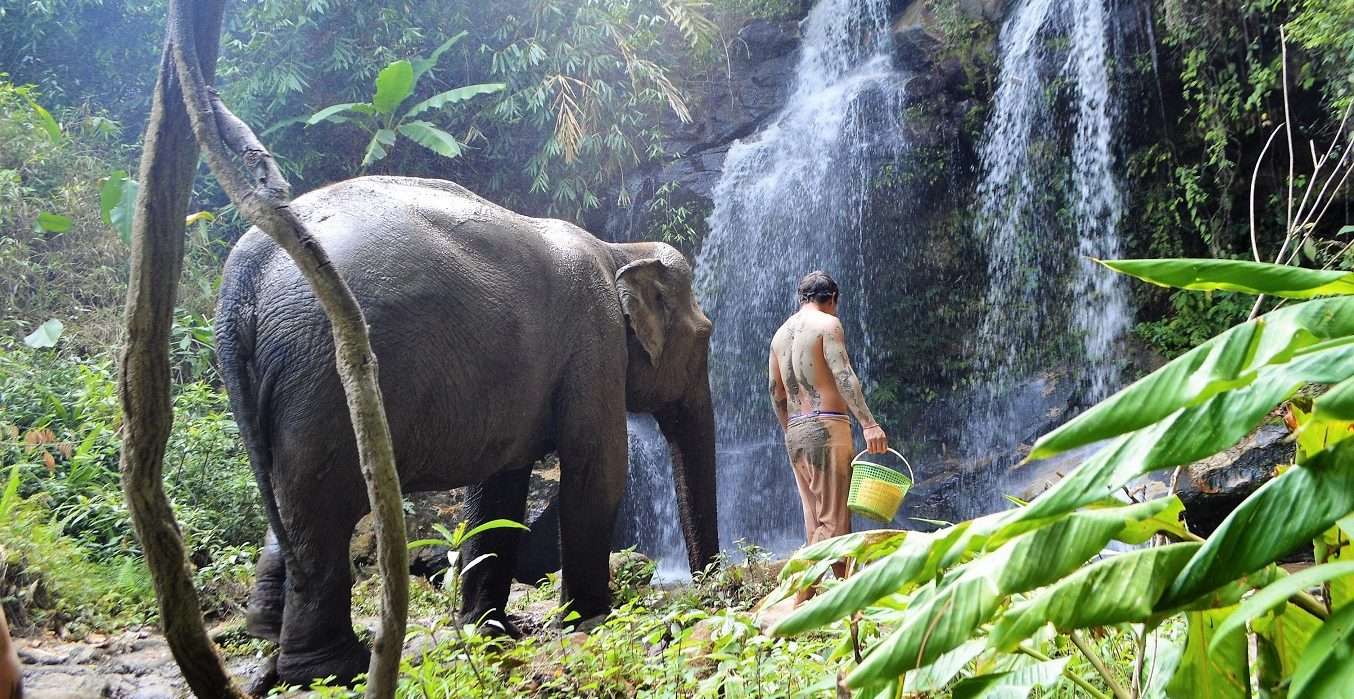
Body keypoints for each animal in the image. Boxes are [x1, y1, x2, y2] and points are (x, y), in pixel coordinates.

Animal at [214, 176, 720, 684]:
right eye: (707, 335)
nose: (706, 585)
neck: (618, 251)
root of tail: (244, 272)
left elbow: (498, 490)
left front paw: (488, 629)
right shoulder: (595, 340)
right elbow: (599, 471)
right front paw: (589, 620)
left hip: (292, 388)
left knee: (292, 500)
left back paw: (267, 632)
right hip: (327, 379)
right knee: (324, 509)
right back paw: (334, 668)